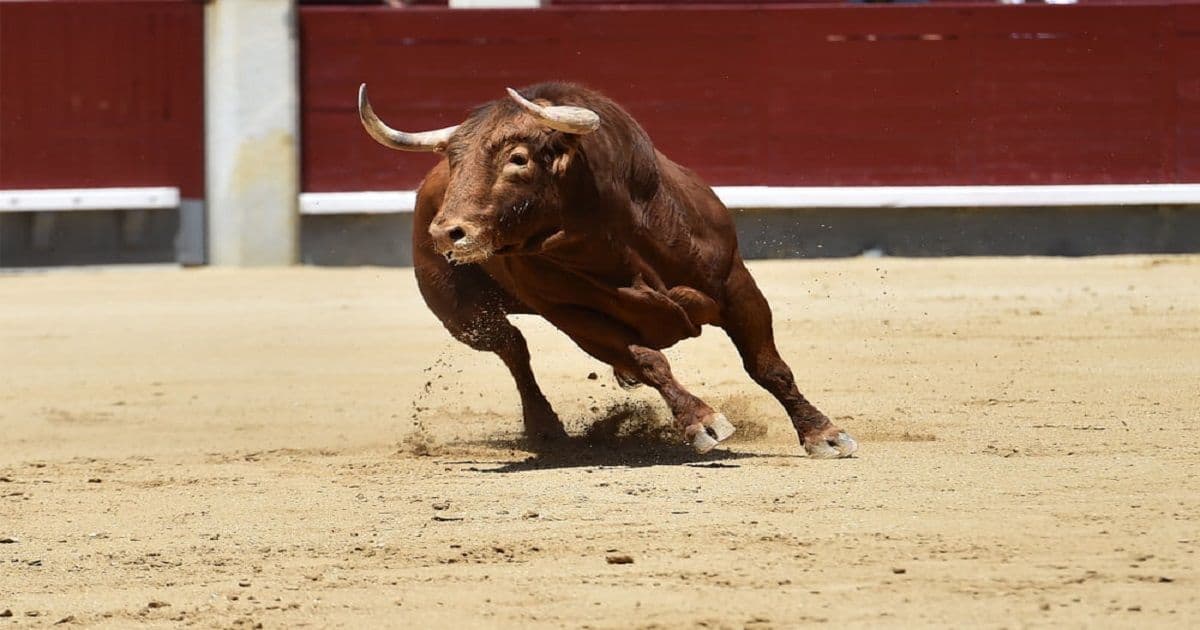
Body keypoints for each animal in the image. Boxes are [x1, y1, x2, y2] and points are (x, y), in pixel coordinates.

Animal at [358, 82, 857, 458]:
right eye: (454, 160)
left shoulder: (737, 285)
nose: (446, 234)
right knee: (513, 349)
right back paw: (546, 429)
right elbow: (649, 360)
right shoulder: (576, 319)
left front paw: (824, 434)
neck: (616, 242)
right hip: (465, 318)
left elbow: (767, 365)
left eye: (518, 158)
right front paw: (702, 422)